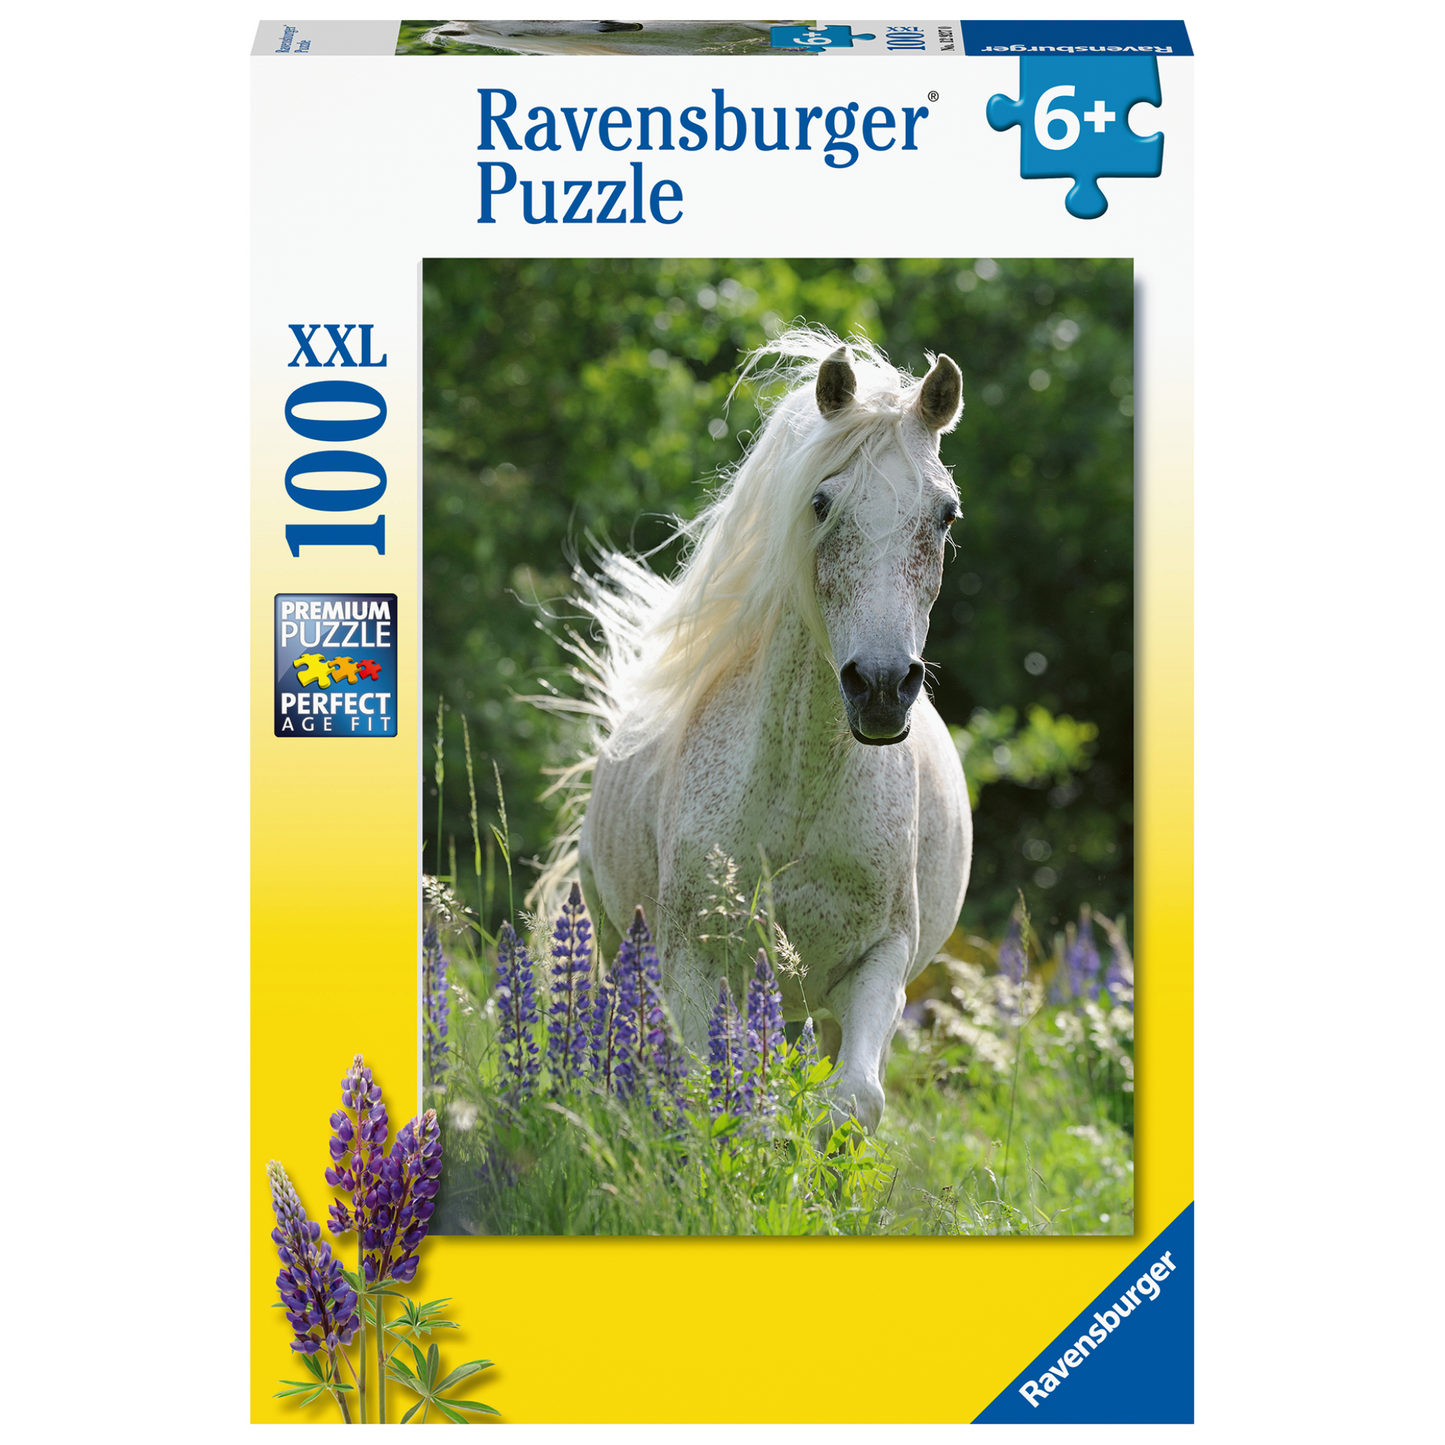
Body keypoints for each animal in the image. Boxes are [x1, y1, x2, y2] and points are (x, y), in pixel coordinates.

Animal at [546, 330, 971, 1132]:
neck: (798, 794)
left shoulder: (880, 962)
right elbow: (708, 1095)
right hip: (619, 945)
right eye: (821, 501)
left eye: (945, 514)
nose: (879, 688)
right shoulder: (693, 963)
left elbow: (853, 1100)